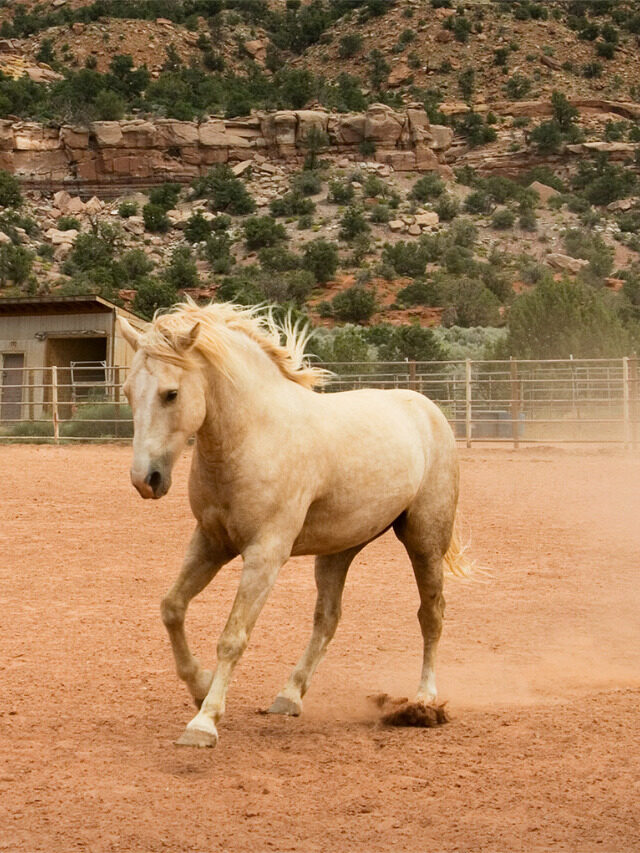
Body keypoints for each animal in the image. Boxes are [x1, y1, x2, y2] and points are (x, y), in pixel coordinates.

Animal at [119, 301, 470, 748]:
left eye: (171, 394)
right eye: (129, 392)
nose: (145, 480)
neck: (253, 435)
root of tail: (427, 408)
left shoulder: (265, 554)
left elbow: (232, 637)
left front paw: (204, 722)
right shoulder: (211, 542)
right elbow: (171, 608)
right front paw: (199, 685)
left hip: (425, 540)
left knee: (431, 614)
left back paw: (424, 700)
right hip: (339, 550)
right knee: (327, 619)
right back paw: (289, 695)